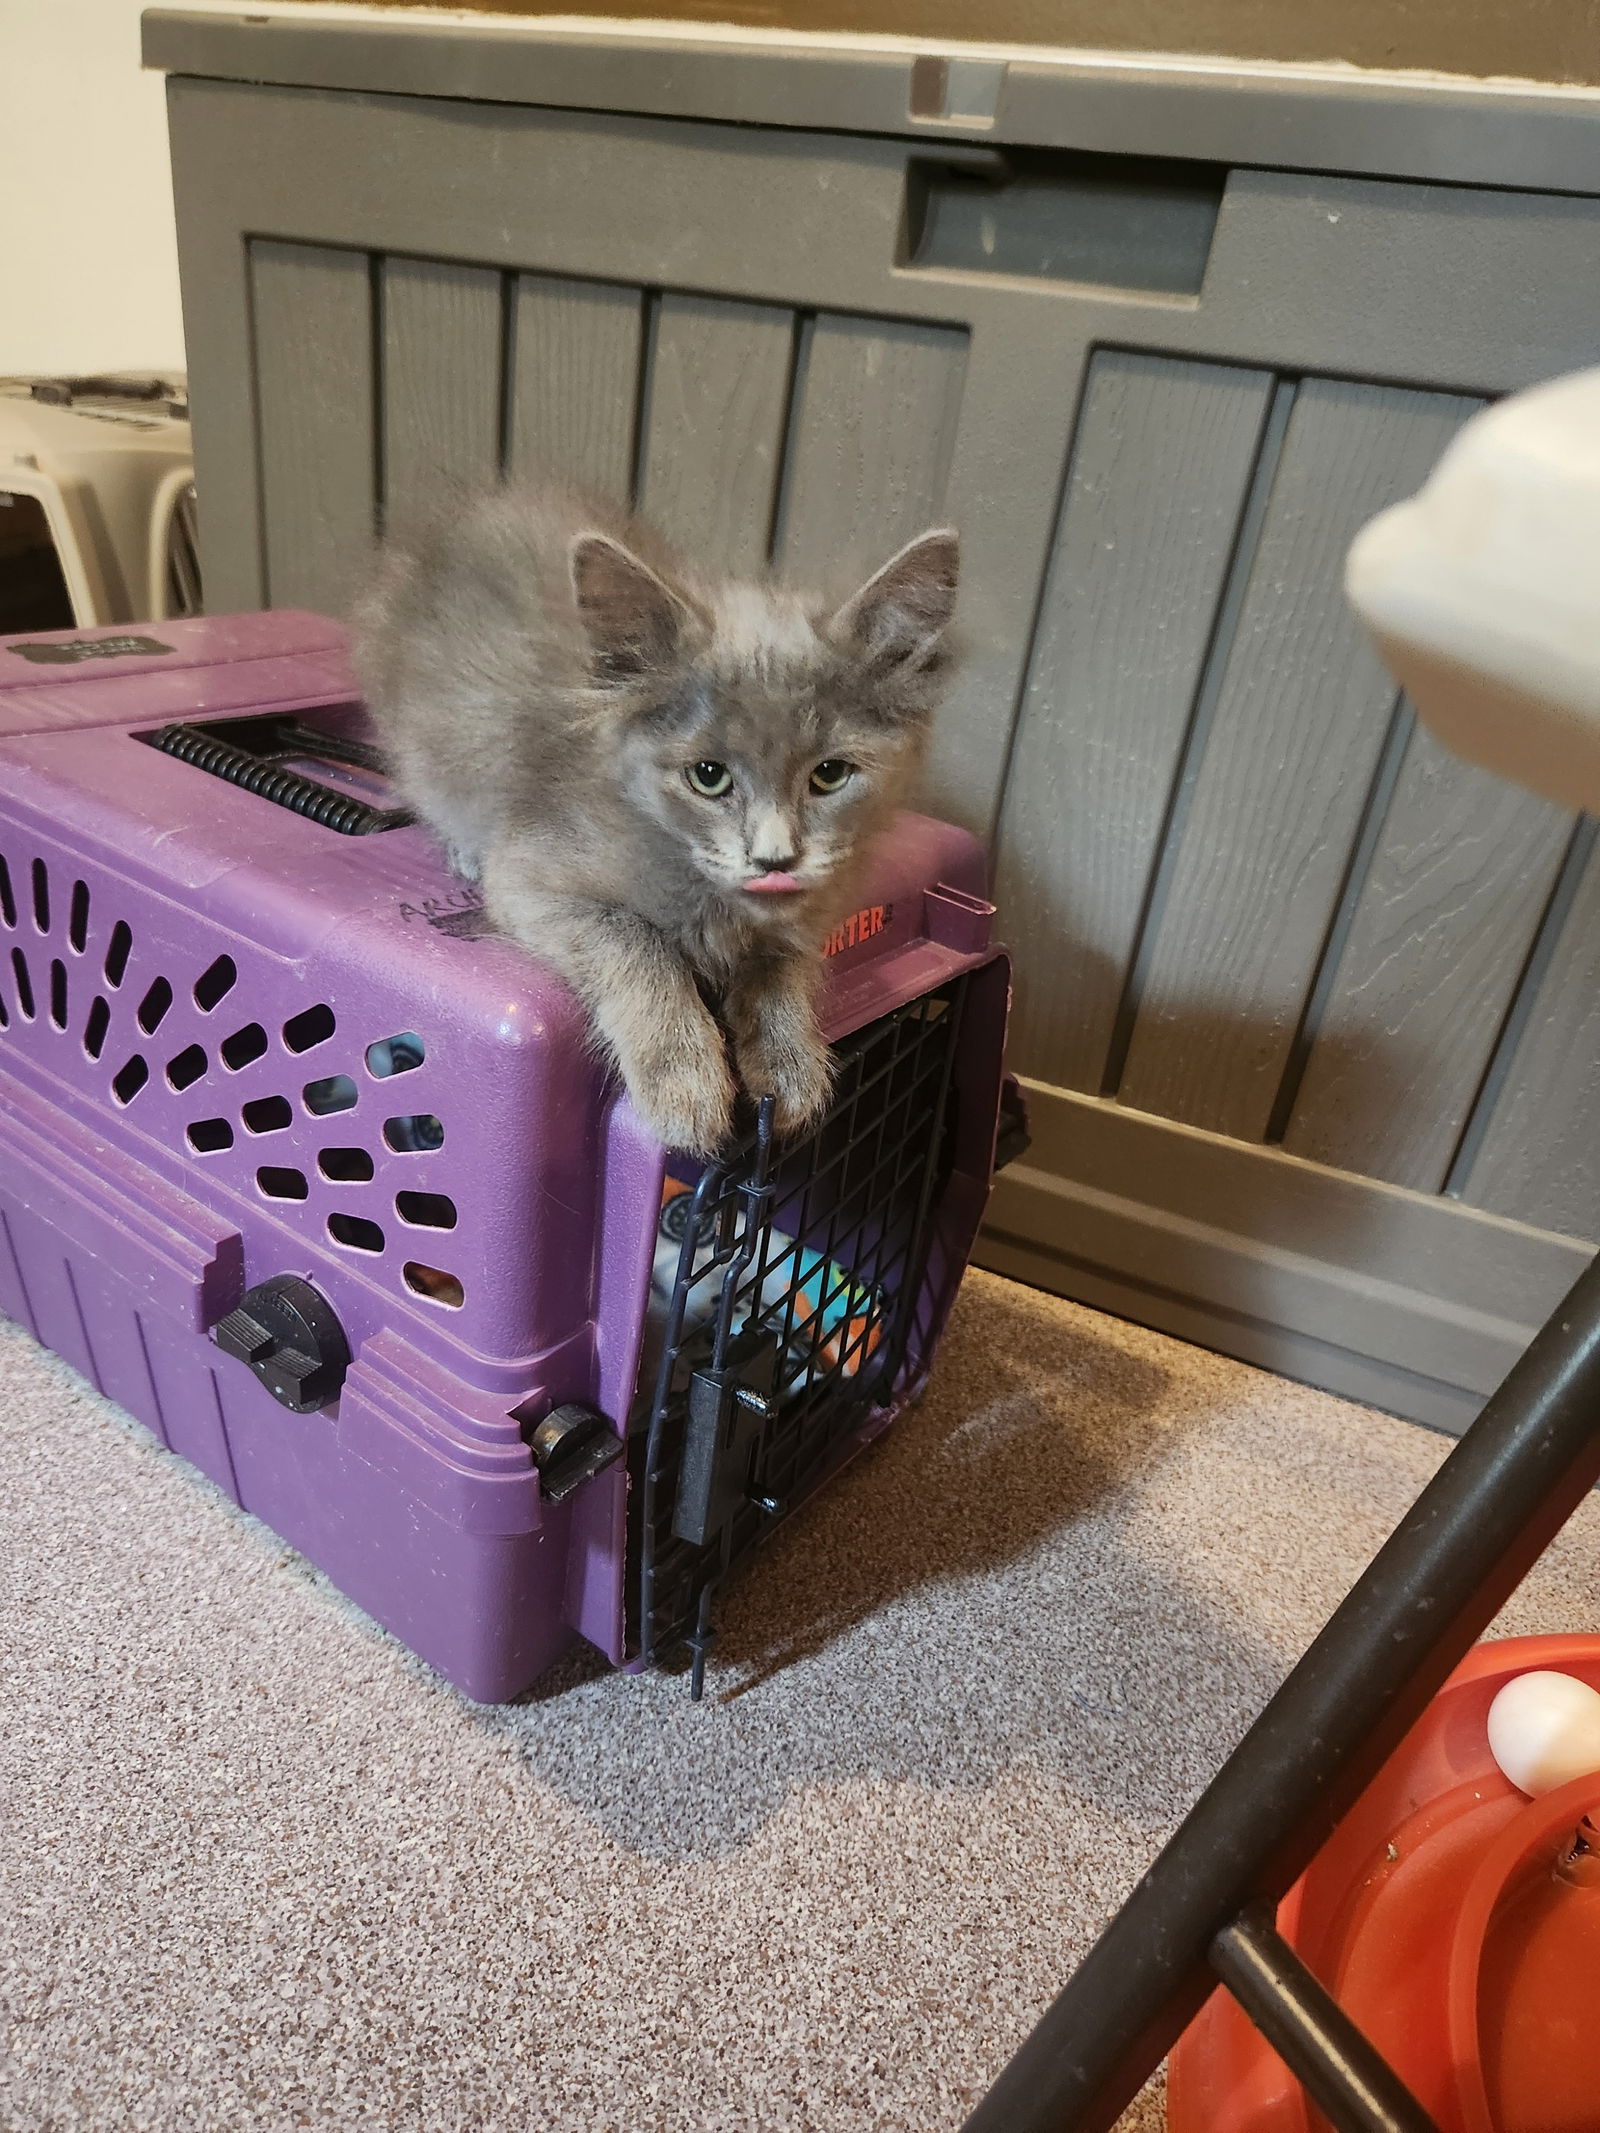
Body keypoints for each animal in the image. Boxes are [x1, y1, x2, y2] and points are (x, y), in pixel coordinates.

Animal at [356, 488, 960, 1151]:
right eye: (708, 776)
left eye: (829, 775)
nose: (774, 859)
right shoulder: (530, 878)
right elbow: (639, 944)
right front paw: (685, 1084)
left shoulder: (805, 916)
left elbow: (784, 966)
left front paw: (790, 1064)